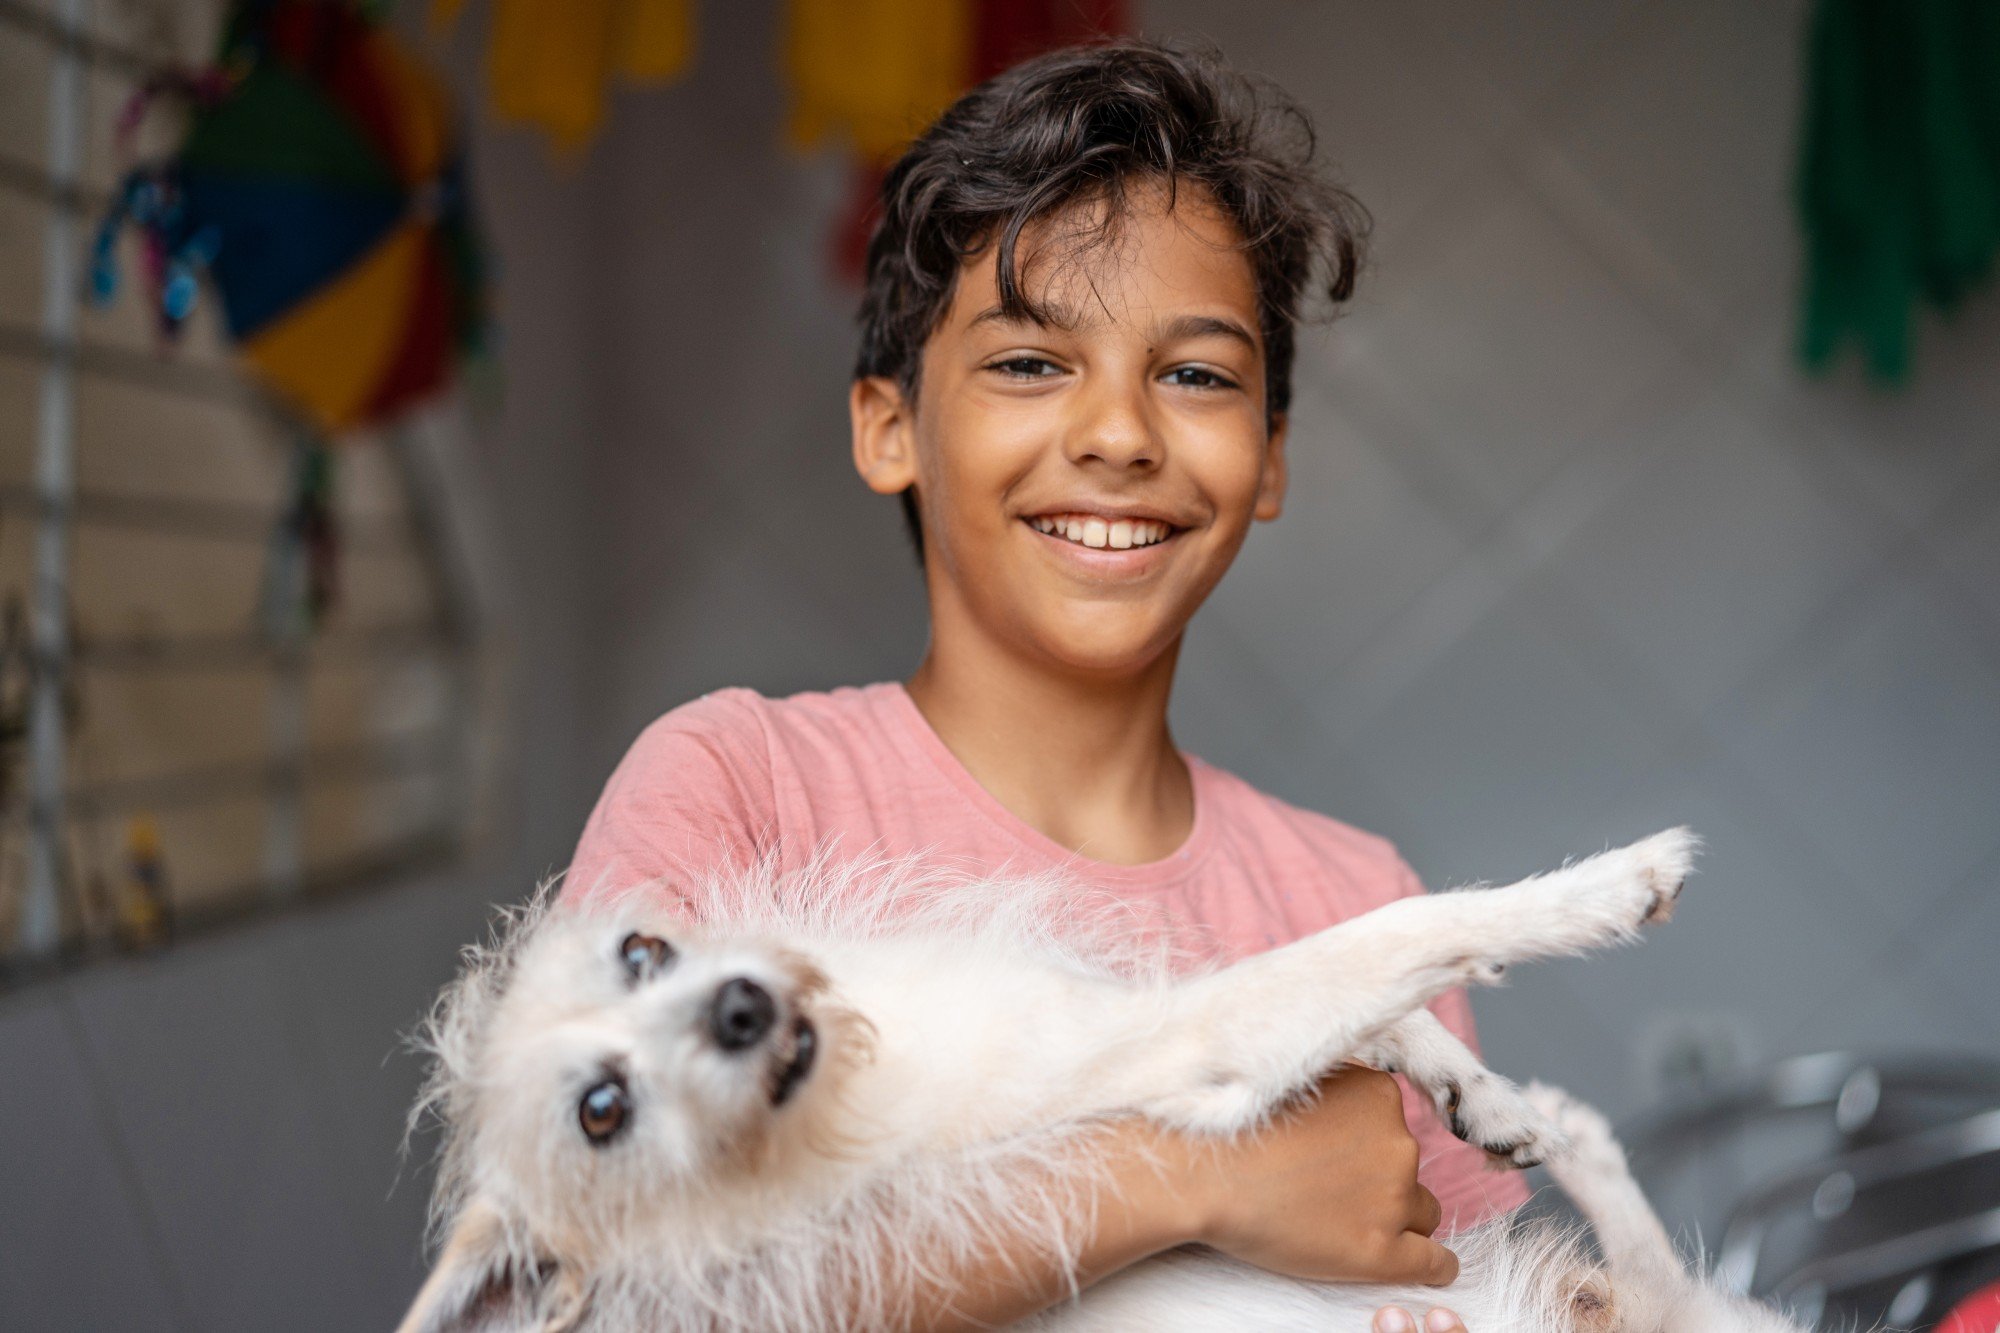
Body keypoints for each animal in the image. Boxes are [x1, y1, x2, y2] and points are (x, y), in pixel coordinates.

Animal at [398, 824, 1808, 1320]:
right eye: (601, 1112)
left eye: (641, 950)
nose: (744, 1004)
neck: (862, 1061)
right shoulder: (1192, 1043)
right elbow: (1390, 936)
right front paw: (1600, 888)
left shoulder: (1140, 1000)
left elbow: (1385, 1012)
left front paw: (1485, 1097)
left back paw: (1567, 1133)